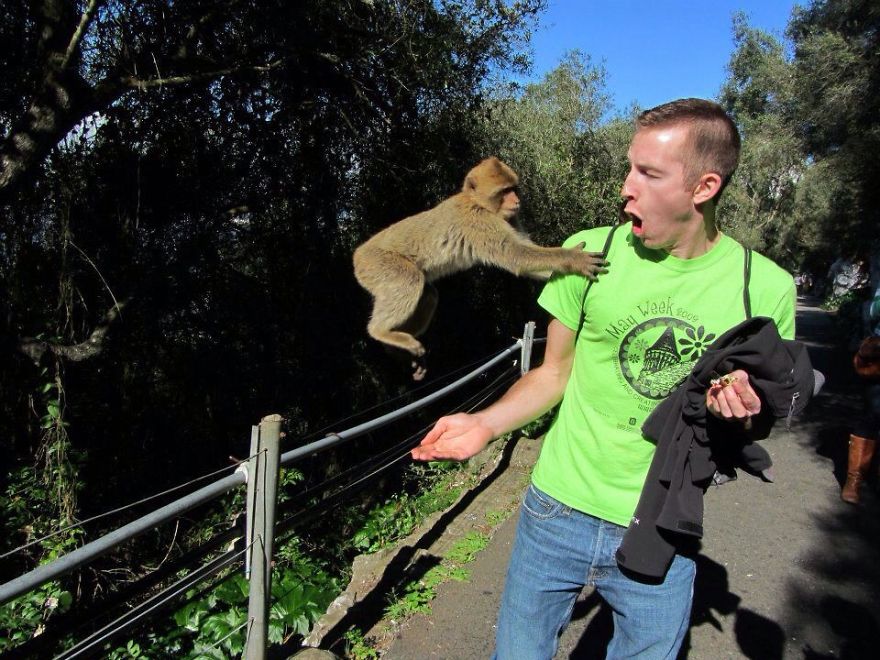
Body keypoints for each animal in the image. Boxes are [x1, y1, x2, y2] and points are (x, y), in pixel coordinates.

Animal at [353, 157, 607, 378]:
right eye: (504, 192)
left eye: (514, 189)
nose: (517, 201)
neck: (478, 203)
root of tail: (357, 255)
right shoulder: (479, 222)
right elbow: (516, 255)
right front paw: (572, 258)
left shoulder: (508, 218)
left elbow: (528, 259)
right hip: (377, 264)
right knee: (410, 280)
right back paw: (381, 332)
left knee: (428, 293)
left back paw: (396, 348)